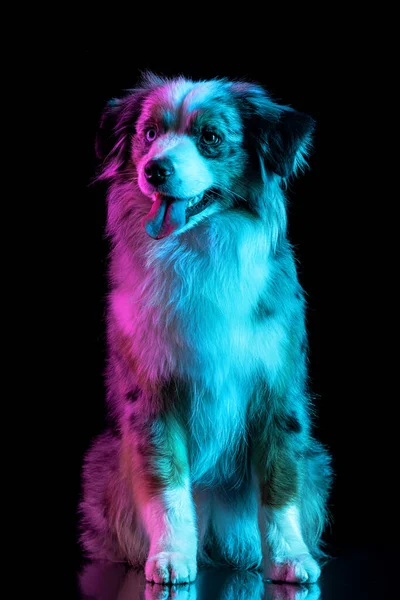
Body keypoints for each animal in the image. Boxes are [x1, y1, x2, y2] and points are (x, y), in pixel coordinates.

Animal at [79, 72, 332, 584]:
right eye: (149, 134)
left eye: (211, 138)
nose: (155, 169)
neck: (200, 249)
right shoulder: (152, 391)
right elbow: (166, 482)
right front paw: (171, 556)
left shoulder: (277, 390)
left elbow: (280, 486)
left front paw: (291, 556)